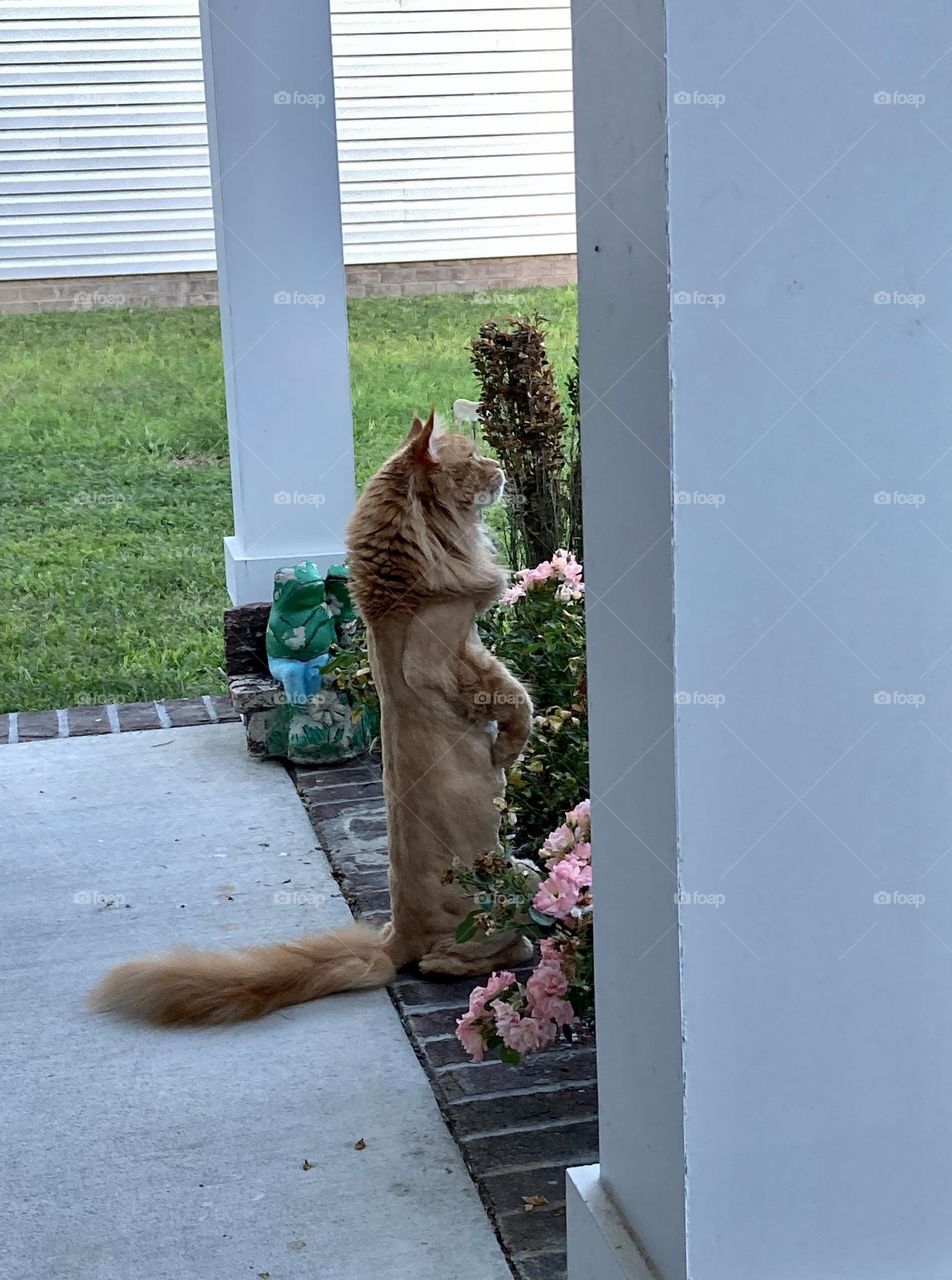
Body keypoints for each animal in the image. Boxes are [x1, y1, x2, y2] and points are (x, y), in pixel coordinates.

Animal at [87, 414, 534, 1024]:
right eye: (471, 459)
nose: (499, 468)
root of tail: (397, 936)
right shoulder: (450, 657)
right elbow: (514, 698)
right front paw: (507, 749)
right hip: (492, 902)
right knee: (453, 961)